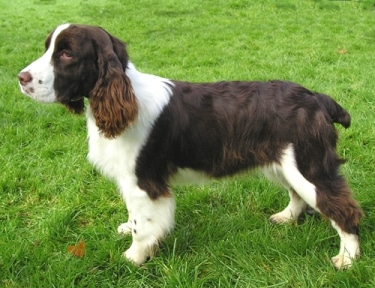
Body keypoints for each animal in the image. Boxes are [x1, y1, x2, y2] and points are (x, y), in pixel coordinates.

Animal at [16, 23, 362, 268]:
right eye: (48, 48)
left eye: (66, 54)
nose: (21, 78)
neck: (125, 97)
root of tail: (316, 98)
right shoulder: (131, 180)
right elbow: (133, 215)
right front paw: (127, 229)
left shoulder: (144, 181)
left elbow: (144, 226)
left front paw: (133, 257)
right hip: (285, 162)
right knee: (298, 195)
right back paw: (287, 217)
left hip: (308, 165)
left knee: (343, 208)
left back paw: (347, 259)